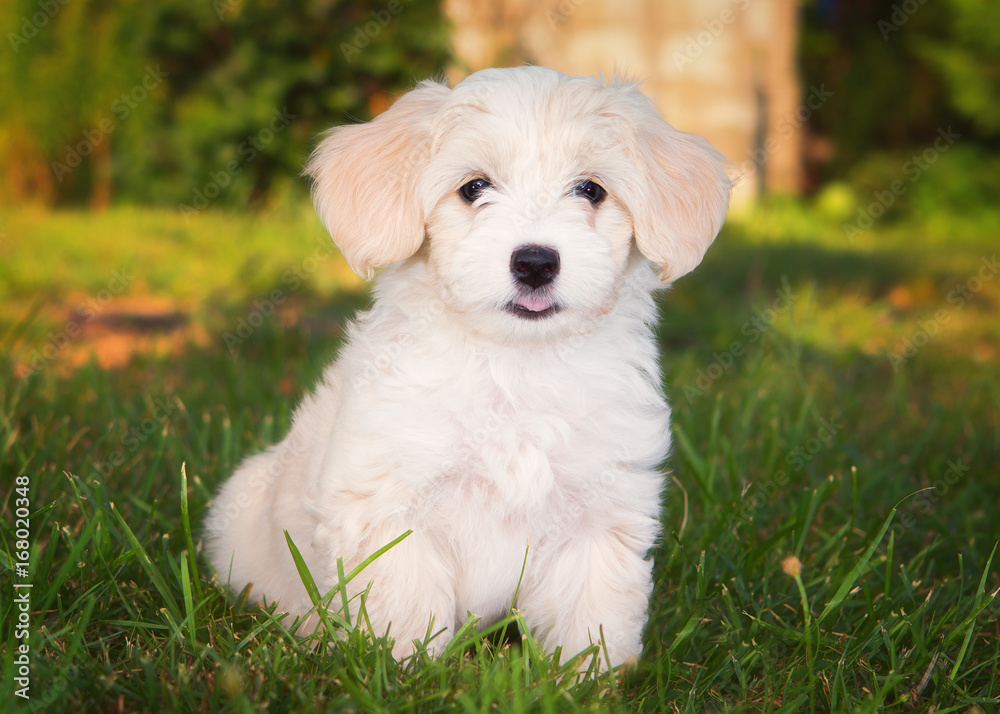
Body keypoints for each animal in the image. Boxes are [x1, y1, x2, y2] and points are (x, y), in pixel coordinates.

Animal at [205, 64, 736, 664]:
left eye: (591, 190)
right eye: (474, 187)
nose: (535, 262)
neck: (514, 364)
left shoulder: (600, 513)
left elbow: (591, 612)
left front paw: (588, 676)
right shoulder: (390, 508)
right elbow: (404, 605)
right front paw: (401, 669)